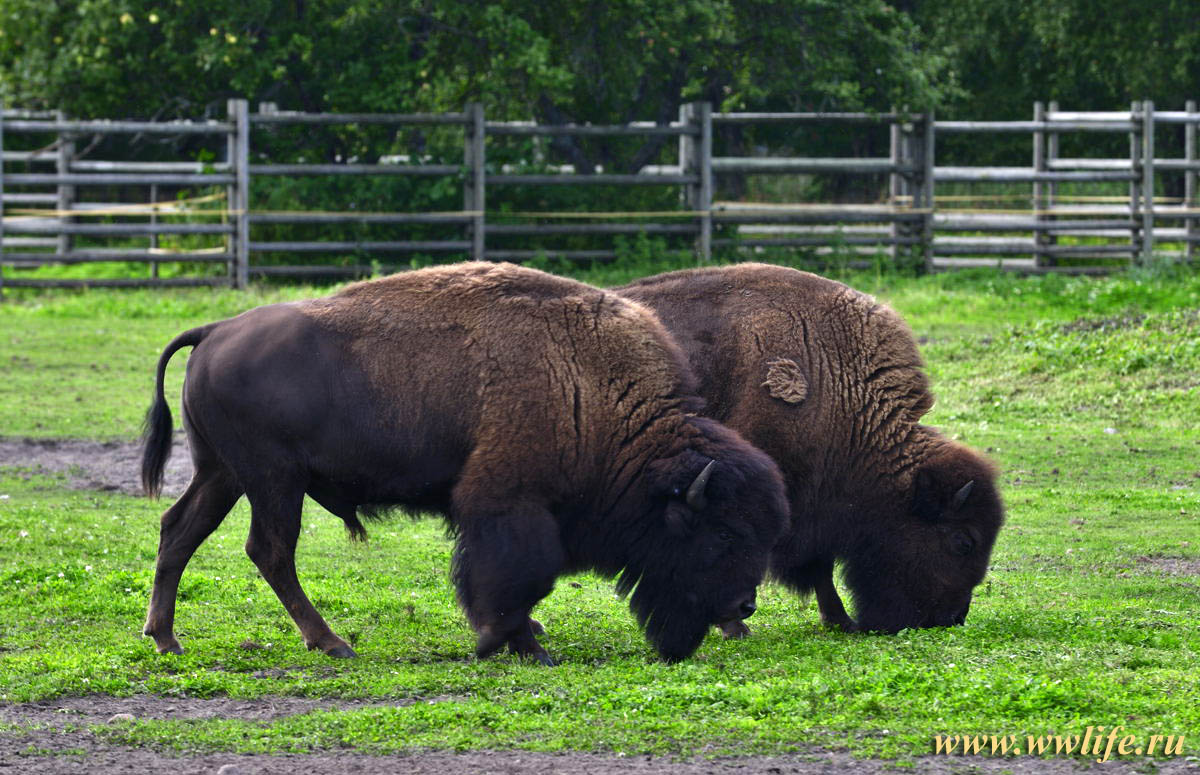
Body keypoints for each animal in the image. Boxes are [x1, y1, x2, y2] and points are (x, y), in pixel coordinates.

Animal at [140, 263, 792, 667]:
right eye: (721, 534)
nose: (744, 606)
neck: (584, 381)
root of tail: (216, 330)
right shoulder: (508, 503)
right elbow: (522, 577)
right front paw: (514, 644)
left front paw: (518, 639)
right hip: (274, 481)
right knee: (270, 550)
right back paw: (331, 644)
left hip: (223, 474)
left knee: (180, 531)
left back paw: (166, 639)